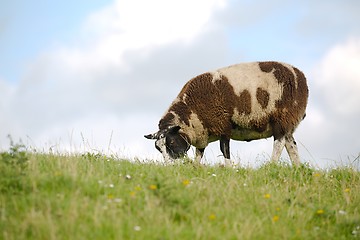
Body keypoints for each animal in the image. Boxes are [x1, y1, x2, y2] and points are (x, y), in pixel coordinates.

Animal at [145, 61, 308, 166]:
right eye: (158, 148)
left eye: (171, 143)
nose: (170, 167)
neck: (191, 111)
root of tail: (299, 75)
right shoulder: (202, 132)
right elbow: (199, 154)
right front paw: (195, 169)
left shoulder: (223, 125)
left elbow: (224, 150)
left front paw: (229, 169)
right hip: (288, 122)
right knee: (291, 145)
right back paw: (297, 169)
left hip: (282, 117)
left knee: (279, 143)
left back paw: (271, 166)